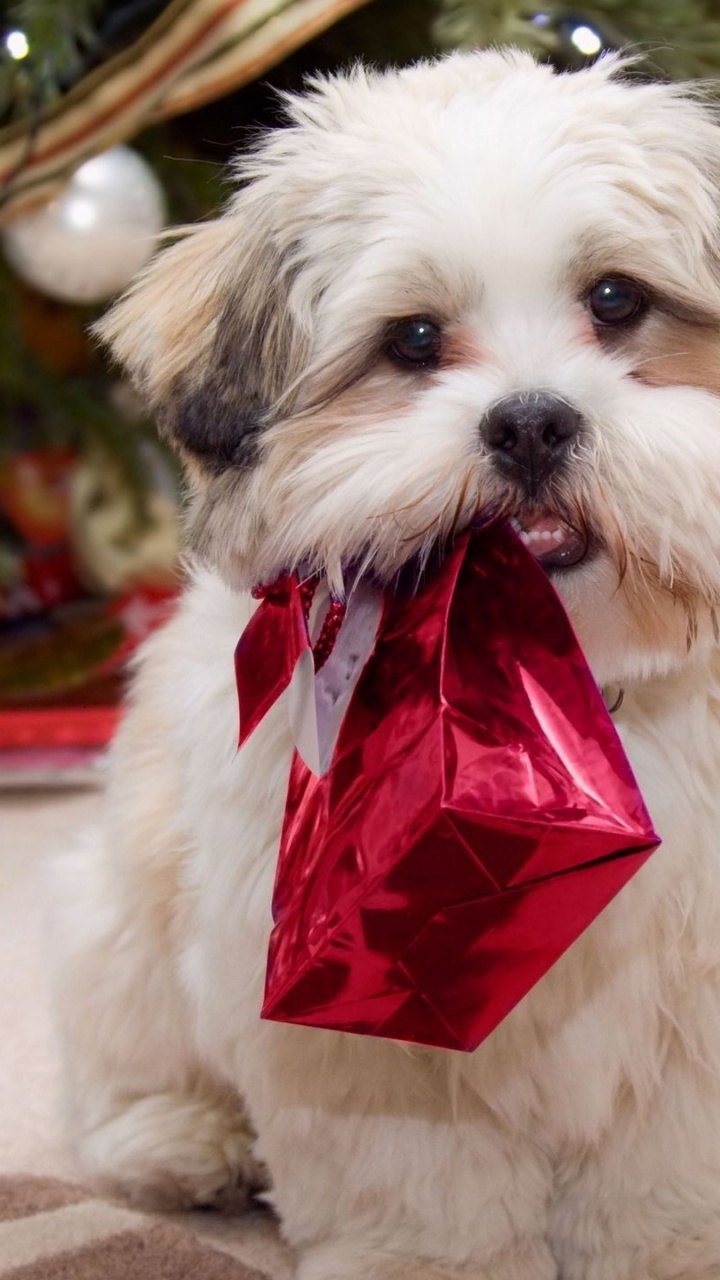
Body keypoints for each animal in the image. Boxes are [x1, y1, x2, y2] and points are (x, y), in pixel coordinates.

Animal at [51, 49, 720, 1280]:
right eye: (413, 340)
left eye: (616, 300)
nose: (532, 421)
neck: (540, 696)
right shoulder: (353, 996)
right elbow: (418, 1174)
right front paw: (429, 1262)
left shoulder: (686, 1000)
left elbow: (664, 1161)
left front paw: (673, 1247)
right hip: (118, 907)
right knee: (122, 1054)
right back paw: (181, 1139)